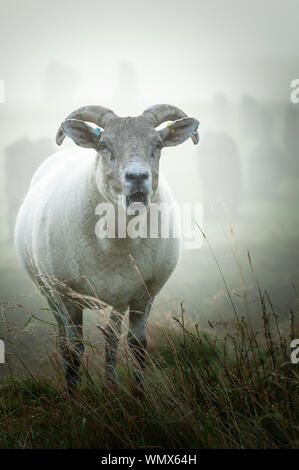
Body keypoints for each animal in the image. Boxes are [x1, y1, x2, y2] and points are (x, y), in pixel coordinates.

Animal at [15, 104, 200, 392]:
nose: (137, 177)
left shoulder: (140, 295)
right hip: (50, 293)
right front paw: (73, 397)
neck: (119, 239)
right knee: (64, 341)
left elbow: (132, 346)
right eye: (104, 145)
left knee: (111, 341)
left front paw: (133, 394)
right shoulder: (66, 295)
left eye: (158, 144)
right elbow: (74, 350)